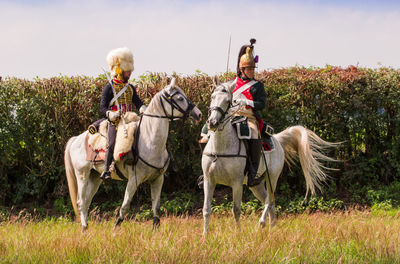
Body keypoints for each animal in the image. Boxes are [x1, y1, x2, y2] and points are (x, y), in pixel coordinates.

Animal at [66, 79, 203, 231]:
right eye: (179, 98)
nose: (199, 114)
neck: (149, 141)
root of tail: (76, 139)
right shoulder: (134, 180)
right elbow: (125, 206)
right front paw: (115, 228)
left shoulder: (158, 179)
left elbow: (156, 207)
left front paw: (155, 229)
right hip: (82, 175)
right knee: (81, 202)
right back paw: (84, 227)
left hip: (95, 177)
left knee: (87, 201)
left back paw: (86, 228)